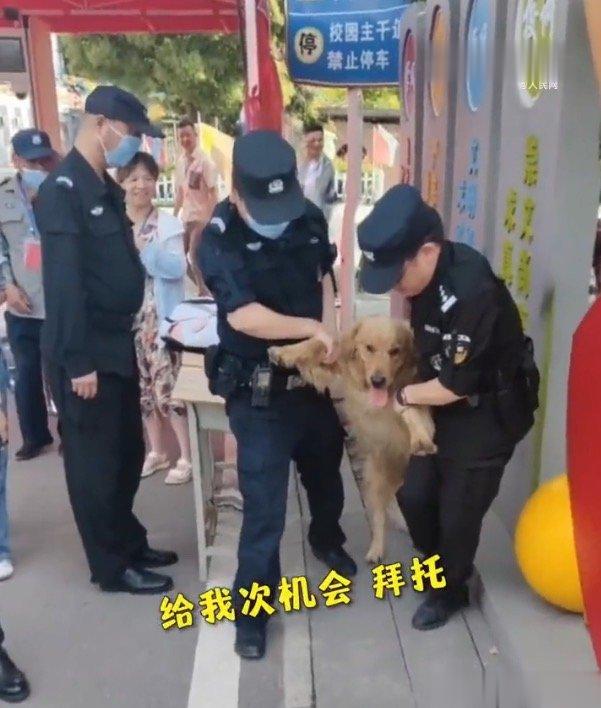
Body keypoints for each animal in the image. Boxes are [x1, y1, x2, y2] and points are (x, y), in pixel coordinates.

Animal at [269, 315, 436, 564]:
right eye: (369, 348)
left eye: (395, 351)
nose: (378, 381)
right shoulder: (339, 367)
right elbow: (320, 343)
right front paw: (284, 352)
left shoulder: (413, 392)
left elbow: (412, 411)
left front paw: (420, 439)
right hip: (377, 474)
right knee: (380, 510)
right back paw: (377, 548)